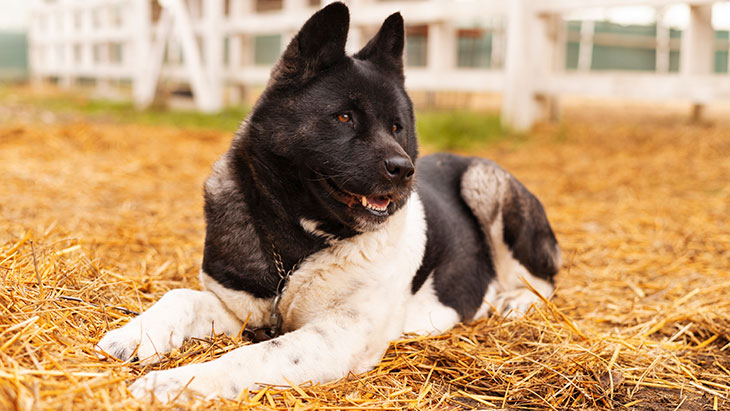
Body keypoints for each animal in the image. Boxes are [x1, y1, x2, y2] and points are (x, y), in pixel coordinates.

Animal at [94, 1, 560, 404]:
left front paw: (176, 382)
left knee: (545, 281)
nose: (404, 169)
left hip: (486, 183)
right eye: (344, 117)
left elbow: (252, 355)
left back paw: (516, 300)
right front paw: (136, 335)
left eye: (397, 127)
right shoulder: (237, 306)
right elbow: (181, 297)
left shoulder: (337, 336)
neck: (301, 239)